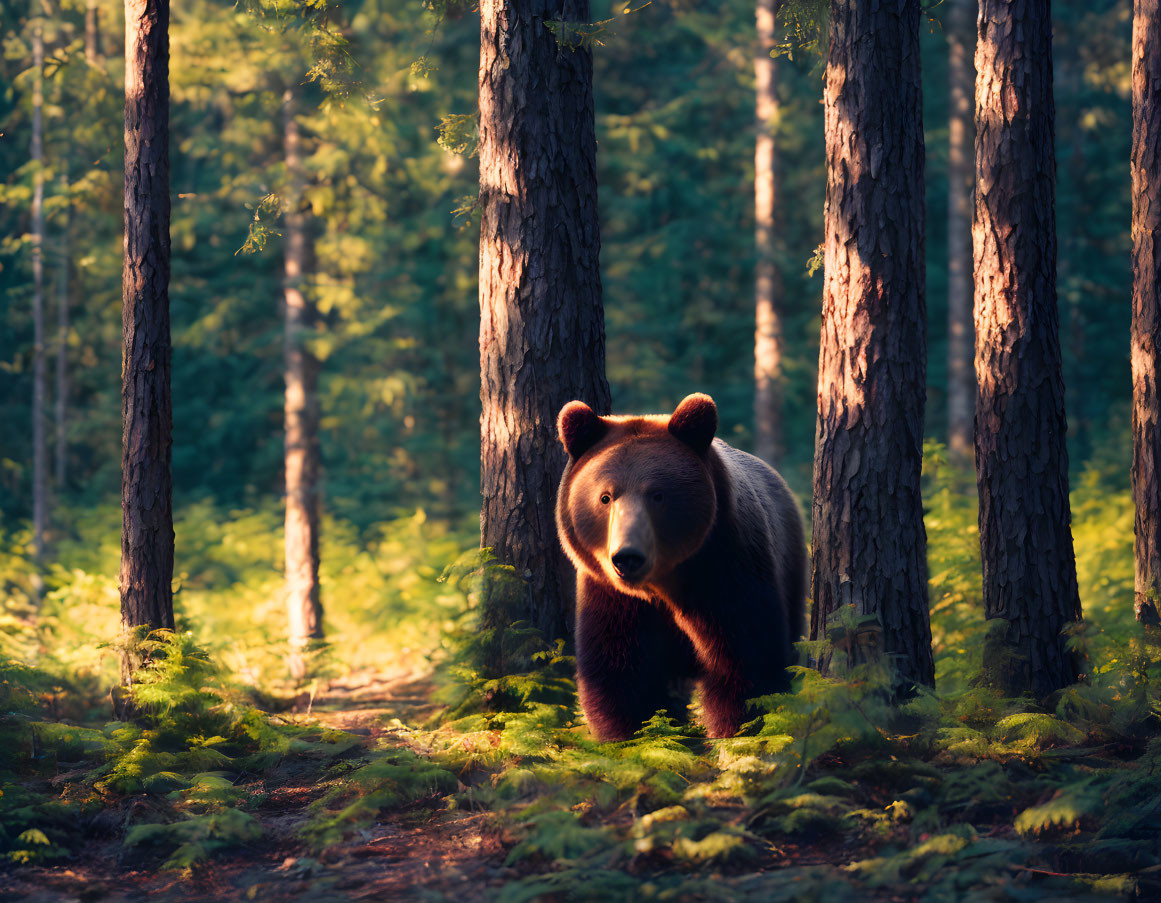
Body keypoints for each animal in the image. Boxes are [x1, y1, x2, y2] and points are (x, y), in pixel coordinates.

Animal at [554, 392, 808, 738]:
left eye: (657, 495)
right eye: (605, 497)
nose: (627, 557)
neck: (663, 587)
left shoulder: (726, 571)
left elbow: (745, 660)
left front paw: (735, 731)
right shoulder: (612, 597)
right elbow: (620, 672)